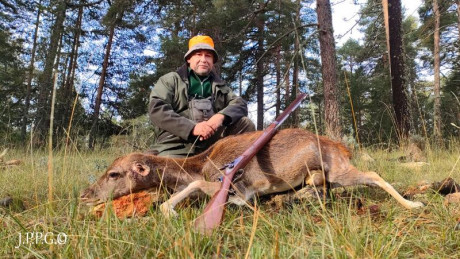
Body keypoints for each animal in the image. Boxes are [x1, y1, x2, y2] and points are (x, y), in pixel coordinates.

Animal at [80, 128, 424, 217]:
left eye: (114, 174)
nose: (85, 194)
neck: (197, 165)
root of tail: (343, 147)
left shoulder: (230, 185)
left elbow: (194, 189)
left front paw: (169, 210)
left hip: (340, 168)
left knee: (373, 174)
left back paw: (414, 203)